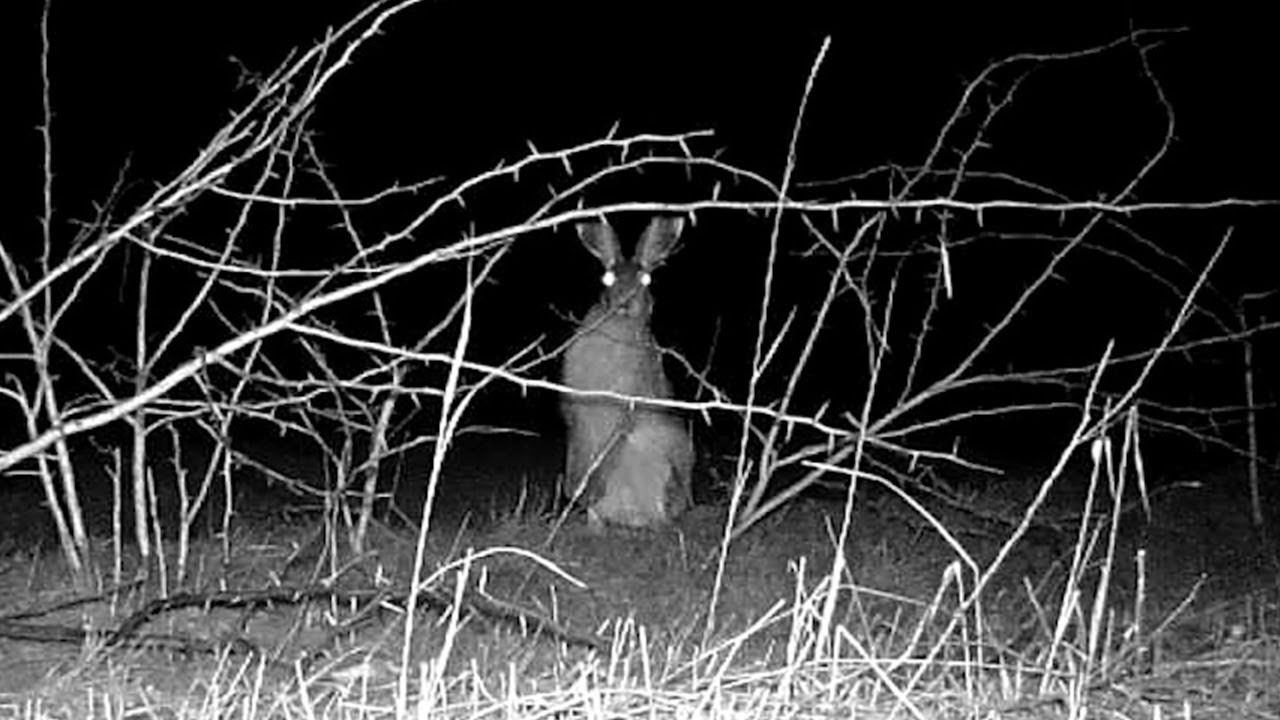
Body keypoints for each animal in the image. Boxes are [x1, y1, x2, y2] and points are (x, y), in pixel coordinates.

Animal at [560, 216, 694, 529]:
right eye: (607, 279)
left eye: (646, 280)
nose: (624, 304)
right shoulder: (575, 413)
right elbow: (578, 449)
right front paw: (574, 491)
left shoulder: (626, 410)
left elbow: (608, 452)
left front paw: (585, 490)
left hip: (664, 463)